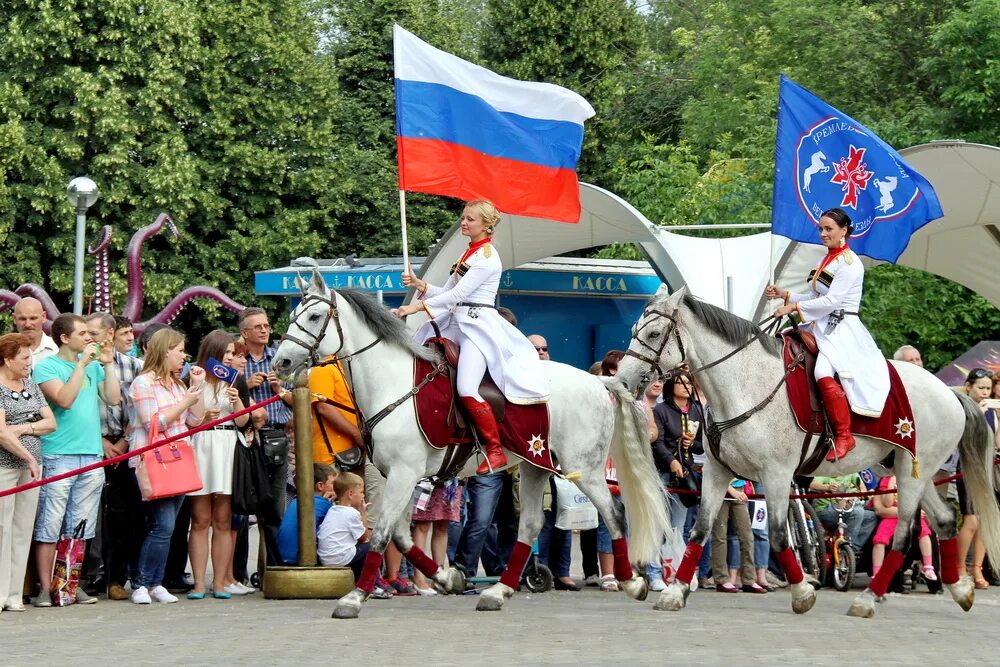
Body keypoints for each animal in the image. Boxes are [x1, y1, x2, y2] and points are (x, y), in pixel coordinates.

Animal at [270, 272, 668, 620]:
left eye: (315, 315)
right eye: (294, 315)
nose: (281, 362)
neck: (394, 381)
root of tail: (601, 382)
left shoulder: (403, 475)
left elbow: (382, 534)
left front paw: (353, 598)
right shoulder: (398, 477)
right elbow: (401, 537)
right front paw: (448, 577)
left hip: (584, 469)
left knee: (614, 514)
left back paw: (633, 582)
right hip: (536, 462)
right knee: (531, 525)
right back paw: (498, 591)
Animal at [616, 290, 1000, 620]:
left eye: (653, 333)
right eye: (633, 331)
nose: (621, 381)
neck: (744, 387)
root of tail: (950, 393)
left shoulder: (776, 475)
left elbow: (779, 534)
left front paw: (802, 593)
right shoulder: (717, 472)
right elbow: (700, 531)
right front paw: (675, 591)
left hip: (910, 473)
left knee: (906, 534)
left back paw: (868, 599)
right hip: (912, 470)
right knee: (945, 520)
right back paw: (960, 590)